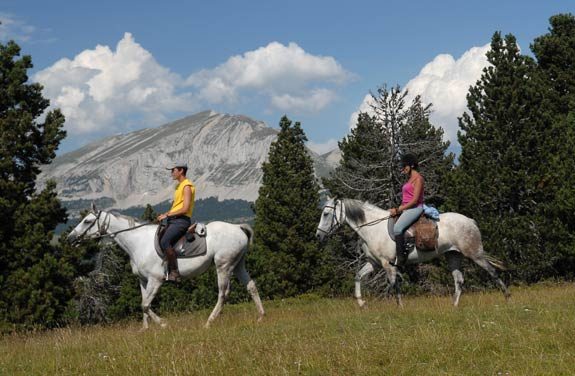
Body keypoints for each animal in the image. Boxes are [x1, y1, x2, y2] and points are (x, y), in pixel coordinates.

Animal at [68, 204, 264, 330]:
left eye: (87, 221)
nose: (70, 238)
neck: (138, 242)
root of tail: (238, 227)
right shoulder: (143, 280)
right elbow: (143, 304)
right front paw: (145, 329)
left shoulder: (156, 280)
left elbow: (145, 305)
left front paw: (163, 324)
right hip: (238, 265)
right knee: (251, 286)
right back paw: (261, 316)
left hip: (223, 266)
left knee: (223, 294)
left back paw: (209, 322)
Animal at [318, 198, 510, 306]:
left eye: (326, 214)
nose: (318, 235)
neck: (373, 228)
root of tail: (470, 221)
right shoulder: (374, 263)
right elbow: (359, 276)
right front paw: (361, 302)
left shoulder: (387, 263)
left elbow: (392, 284)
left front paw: (390, 305)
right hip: (453, 255)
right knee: (459, 280)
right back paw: (454, 306)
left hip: (474, 254)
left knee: (492, 271)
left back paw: (507, 298)